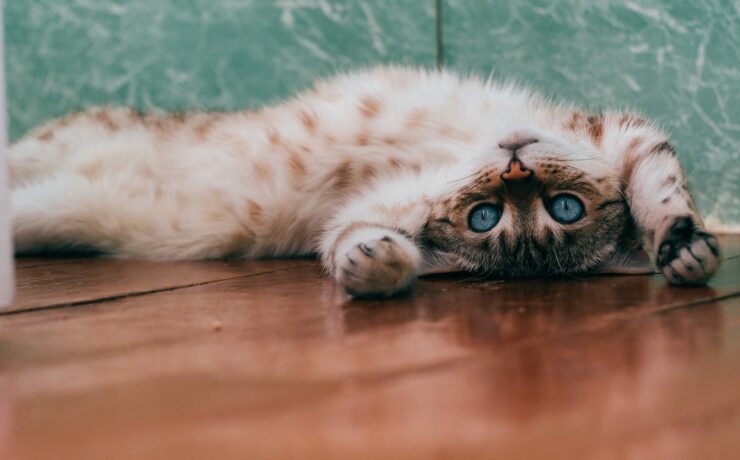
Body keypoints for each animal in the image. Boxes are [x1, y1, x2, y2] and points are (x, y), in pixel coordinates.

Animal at [8, 66, 720, 298]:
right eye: (486, 215)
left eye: (563, 209)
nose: (515, 166)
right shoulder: (621, 132)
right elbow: (662, 186)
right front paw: (684, 244)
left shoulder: (358, 215)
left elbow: (351, 240)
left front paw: (376, 265)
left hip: (57, 210)